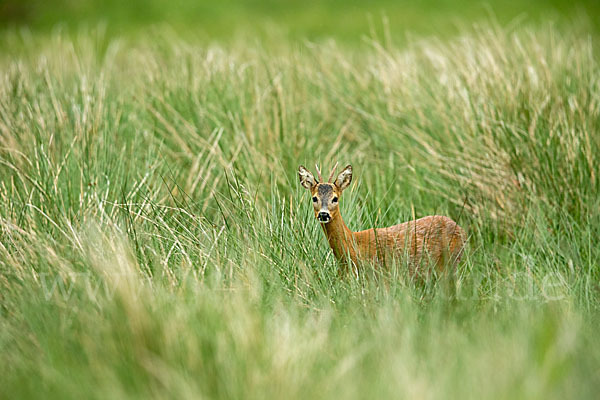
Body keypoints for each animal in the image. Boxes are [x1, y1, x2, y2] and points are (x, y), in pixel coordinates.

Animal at [298, 164, 466, 274]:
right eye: (314, 198)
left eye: (335, 198)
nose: (323, 214)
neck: (355, 246)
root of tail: (461, 230)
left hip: (449, 263)